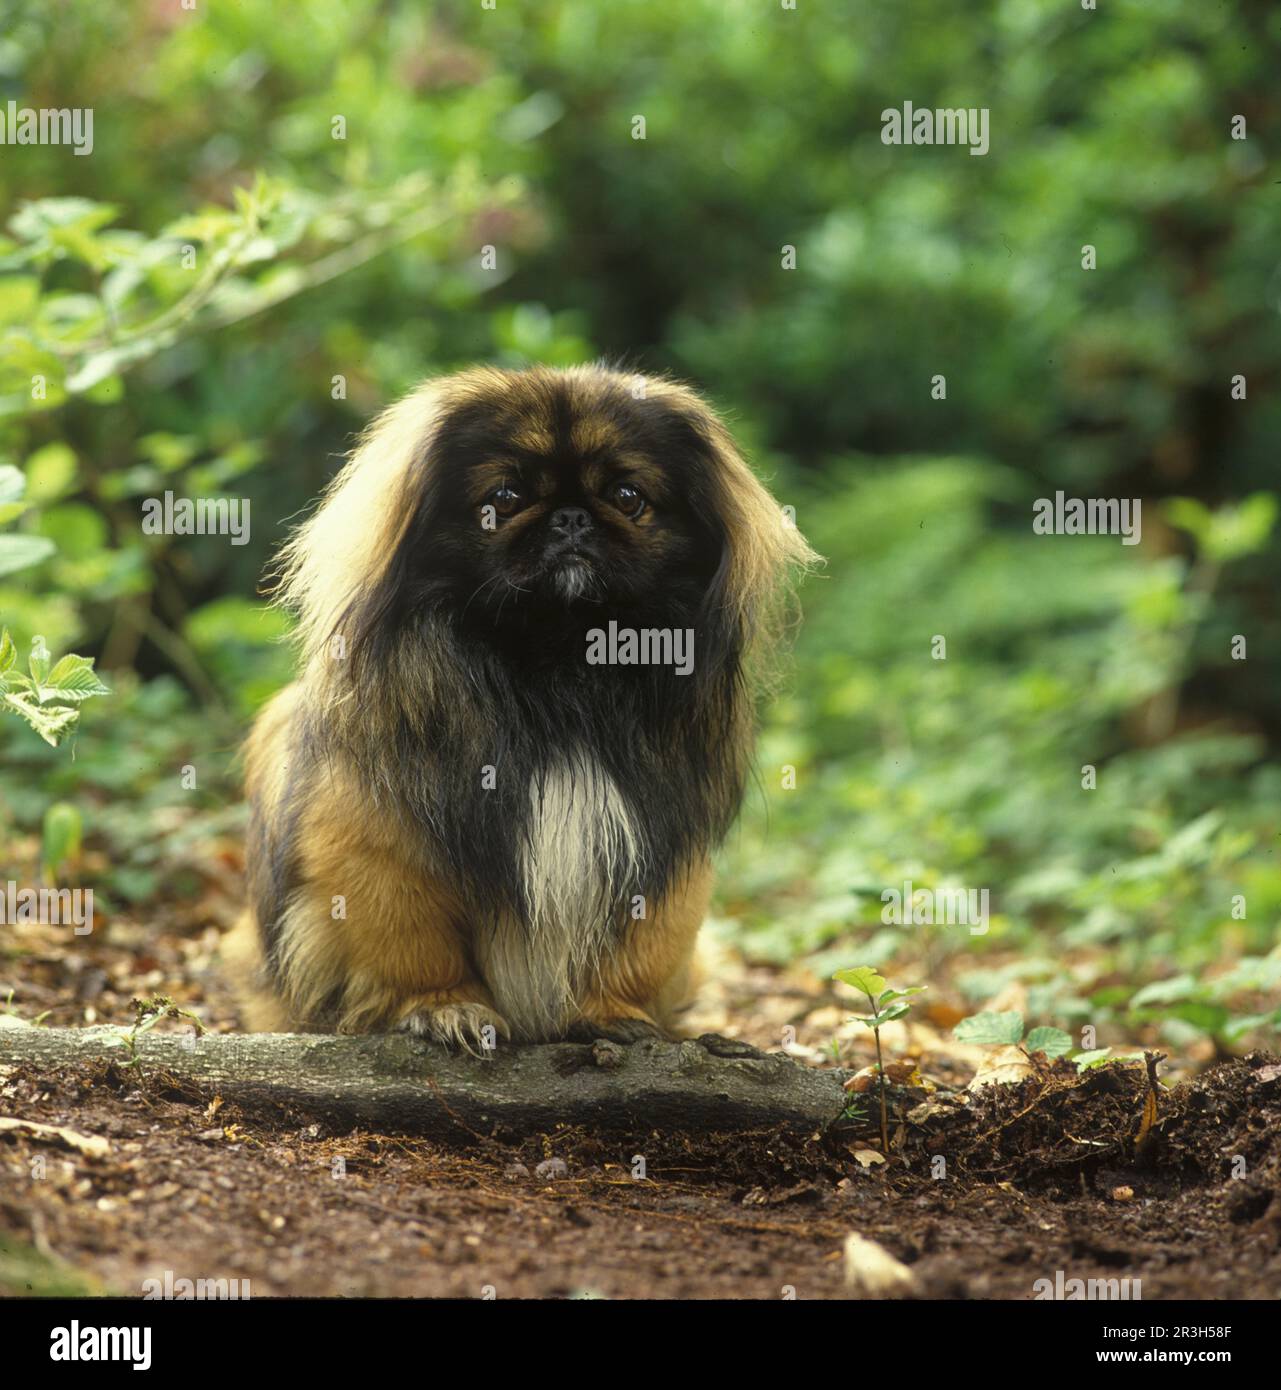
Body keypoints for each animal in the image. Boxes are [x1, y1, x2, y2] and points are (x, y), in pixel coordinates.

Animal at [225, 364, 811, 1045]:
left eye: (629, 497)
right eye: (504, 498)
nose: (571, 518)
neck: (558, 676)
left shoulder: (659, 844)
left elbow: (641, 942)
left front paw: (611, 1010)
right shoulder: (380, 846)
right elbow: (411, 936)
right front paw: (445, 1005)